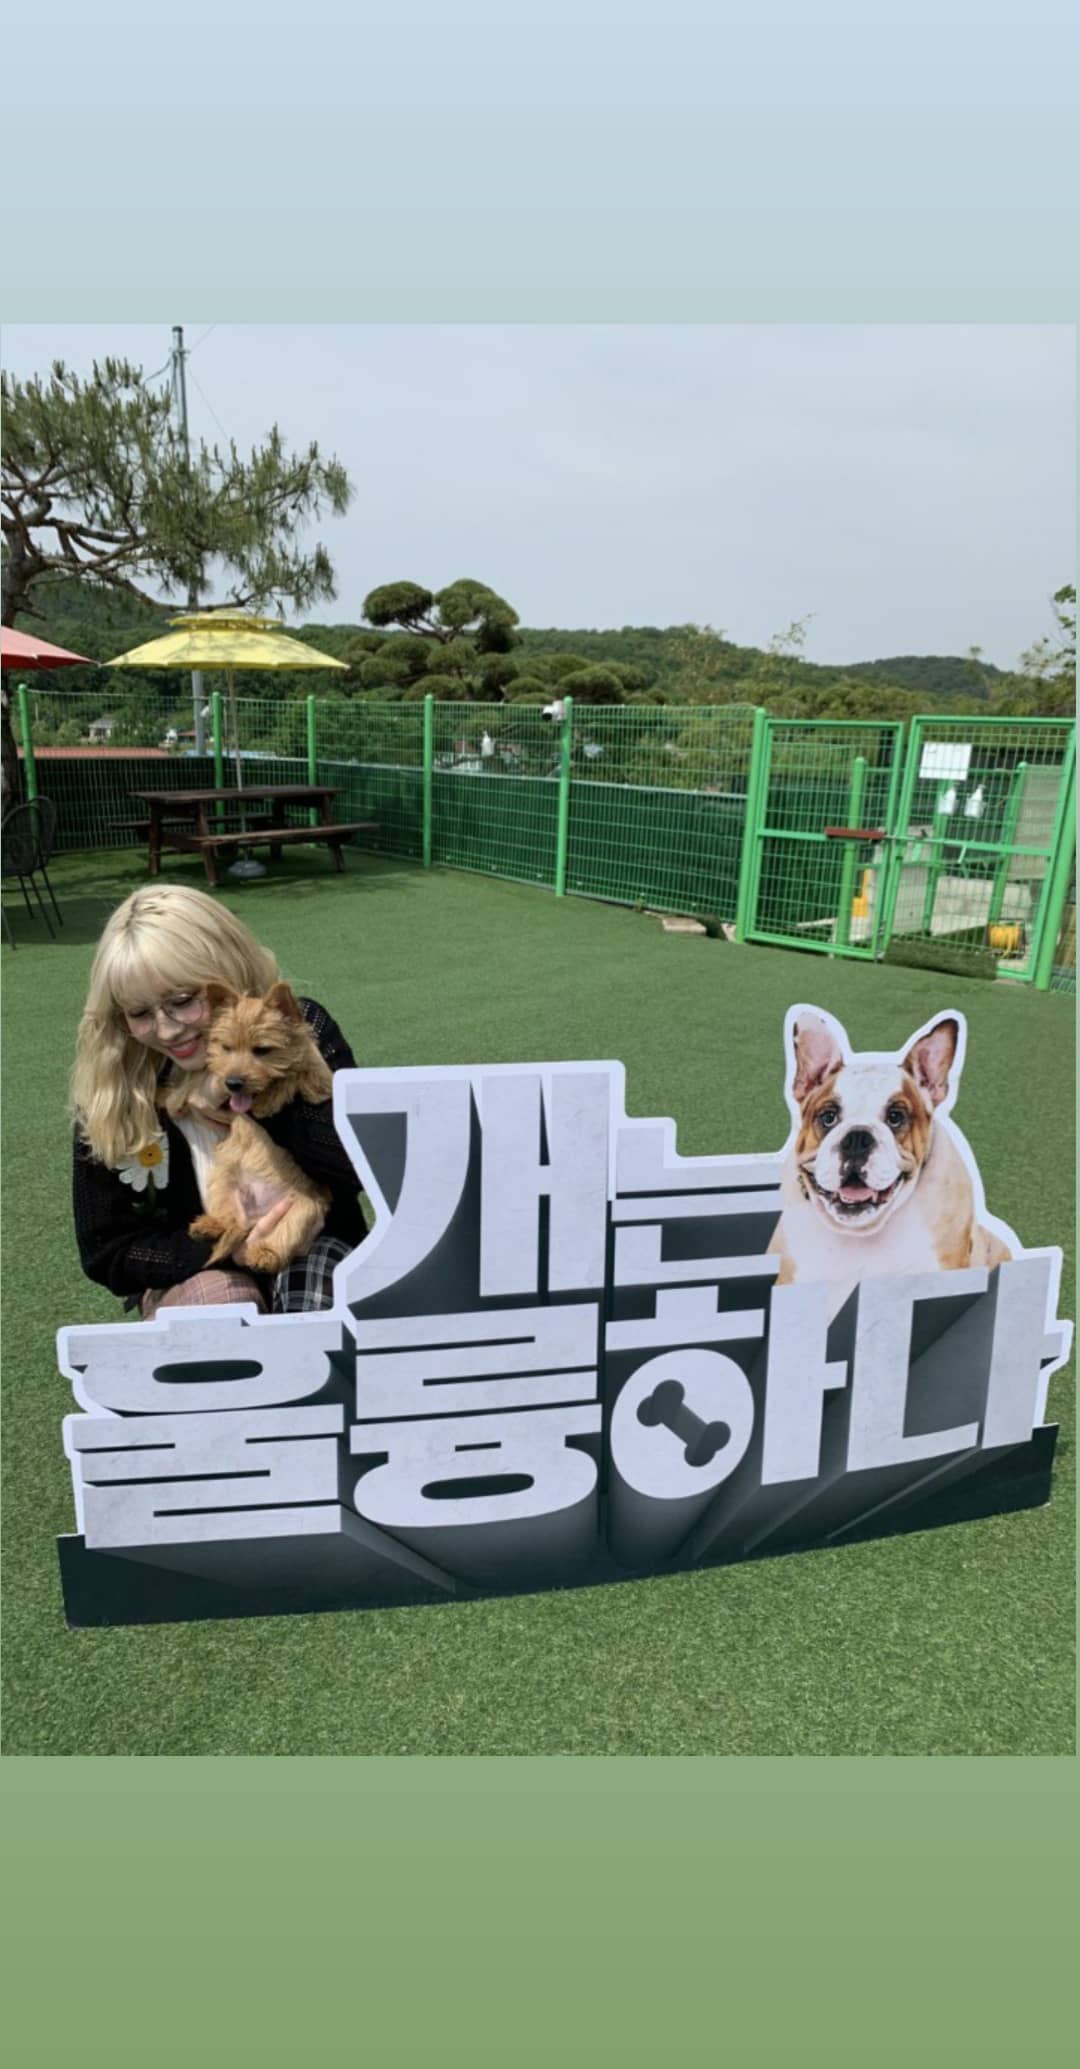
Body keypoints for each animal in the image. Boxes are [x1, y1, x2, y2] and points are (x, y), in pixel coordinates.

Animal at [161, 981, 333, 1275]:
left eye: (262, 1050)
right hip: (221, 1182)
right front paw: (171, 1100)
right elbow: (194, 1079)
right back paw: (209, 1225)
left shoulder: (321, 1082)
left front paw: (268, 1101)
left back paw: (264, 1255)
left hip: (303, 1209)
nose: (233, 1083)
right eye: (227, 1048)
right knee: (230, 1219)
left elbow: (294, 1075)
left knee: (282, 1236)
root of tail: (255, 1216)